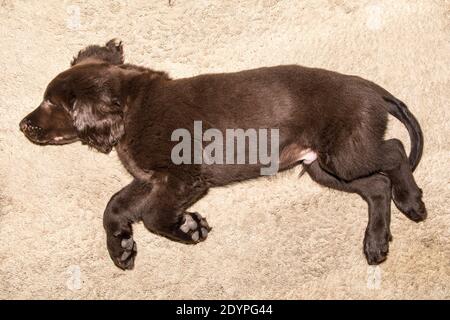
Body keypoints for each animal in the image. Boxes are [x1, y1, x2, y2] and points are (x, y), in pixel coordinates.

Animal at [19, 40, 426, 270]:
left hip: (344, 155)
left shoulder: (181, 177)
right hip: (323, 166)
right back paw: (376, 242)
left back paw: (411, 200)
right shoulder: (150, 179)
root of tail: (370, 88)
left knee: (395, 152)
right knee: (377, 186)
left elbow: (152, 216)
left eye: (51, 104)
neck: (132, 106)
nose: (23, 125)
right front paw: (120, 247)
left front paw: (188, 227)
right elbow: (114, 205)